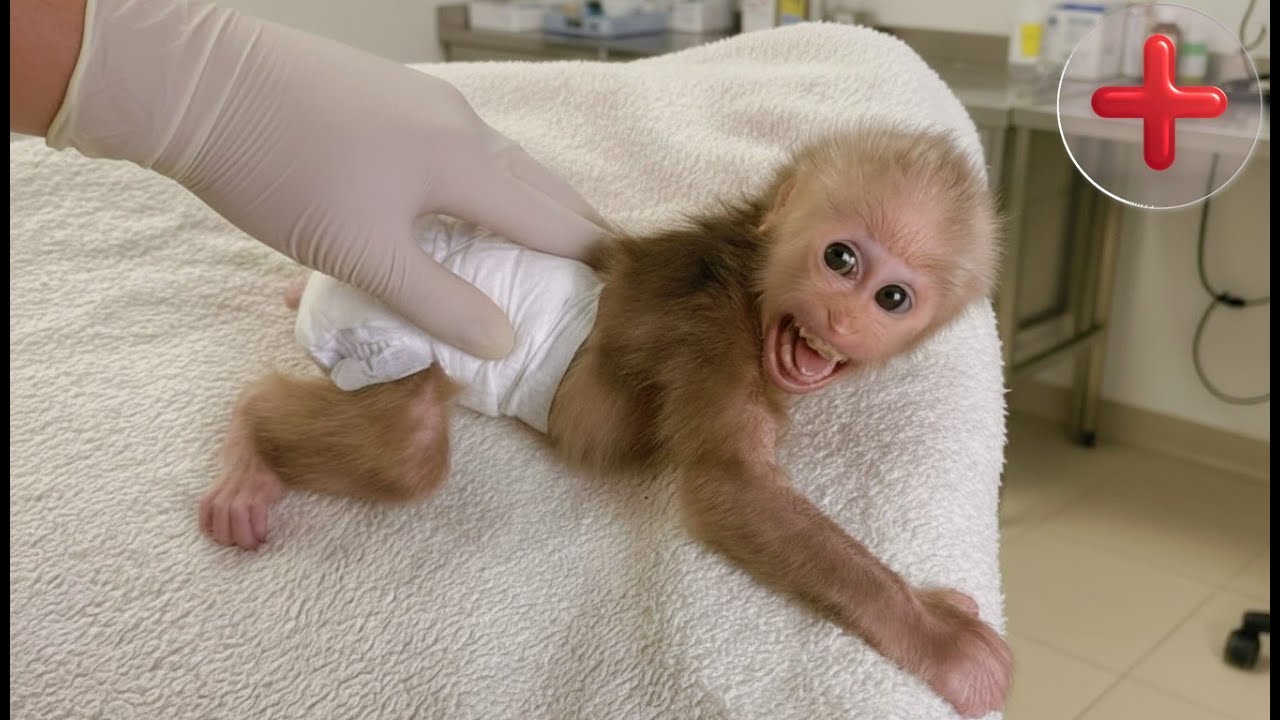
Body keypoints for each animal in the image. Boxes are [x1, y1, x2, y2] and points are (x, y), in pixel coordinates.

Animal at [199, 126, 1010, 717]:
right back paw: (249, 444)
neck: (745, 278)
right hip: (380, 326)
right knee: (405, 448)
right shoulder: (710, 333)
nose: (843, 319)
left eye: (893, 299)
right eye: (840, 258)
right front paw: (939, 638)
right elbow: (729, 485)